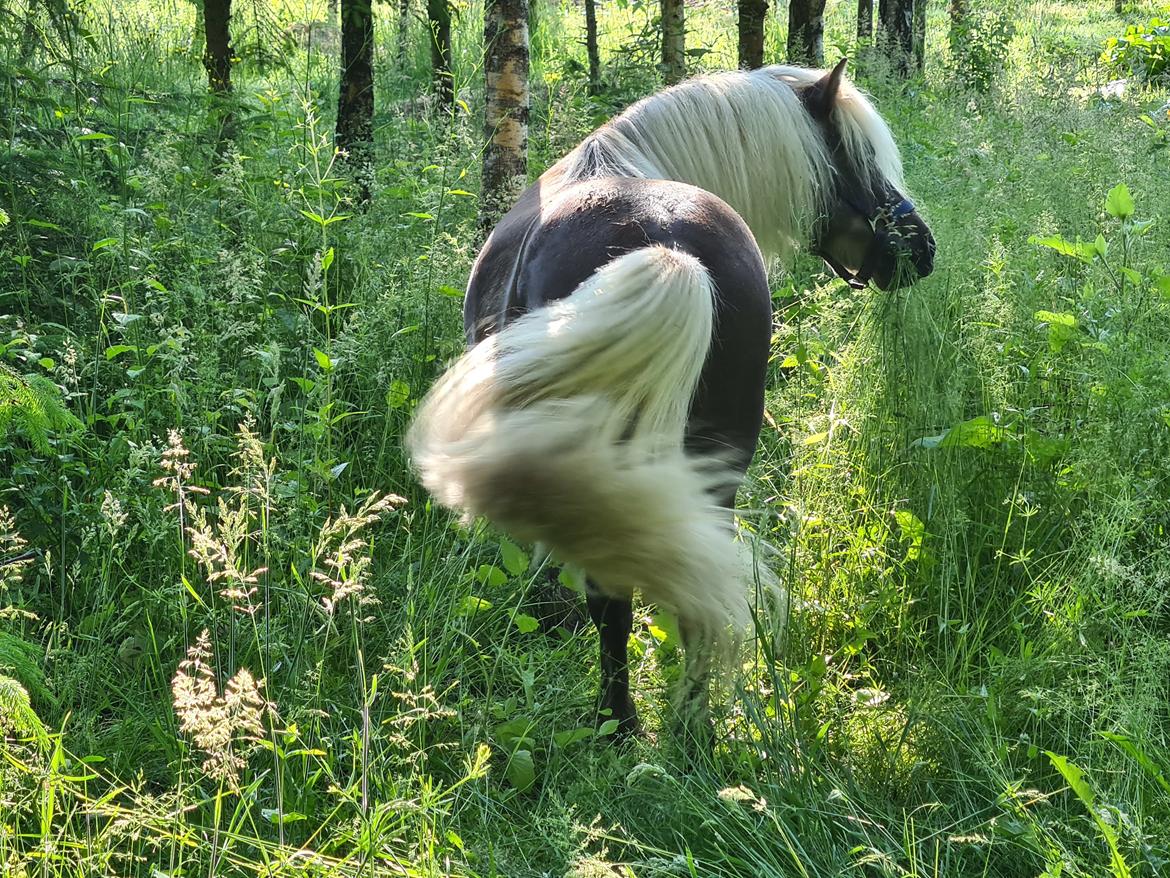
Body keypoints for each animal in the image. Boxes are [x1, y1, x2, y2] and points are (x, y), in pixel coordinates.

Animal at [407, 60, 935, 749]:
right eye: (860, 160)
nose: (921, 250)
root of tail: (666, 247)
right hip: (711, 466)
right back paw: (694, 723)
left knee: (612, 600)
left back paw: (618, 723)